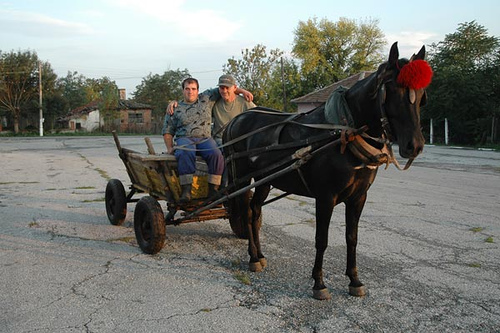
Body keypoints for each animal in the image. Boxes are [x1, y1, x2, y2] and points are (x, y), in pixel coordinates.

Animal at [222, 41, 430, 298]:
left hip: (264, 180)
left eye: (421, 95)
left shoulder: (359, 197)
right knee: (246, 211)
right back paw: (252, 258)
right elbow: (322, 239)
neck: (344, 133)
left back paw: (259, 256)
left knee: (255, 211)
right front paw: (319, 283)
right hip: (241, 179)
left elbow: (352, 237)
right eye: (392, 90)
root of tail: (235, 120)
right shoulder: (325, 197)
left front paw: (354, 280)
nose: (415, 145)